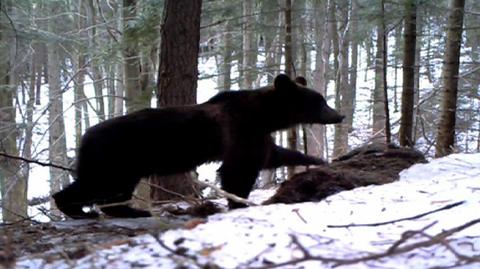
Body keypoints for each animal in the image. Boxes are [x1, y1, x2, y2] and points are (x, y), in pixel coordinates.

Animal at [52, 73, 344, 218]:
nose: (339, 115)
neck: (264, 116)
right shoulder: (241, 129)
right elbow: (239, 168)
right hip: (115, 157)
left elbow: (271, 155)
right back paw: (82, 210)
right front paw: (239, 202)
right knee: (99, 186)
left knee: (109, 189)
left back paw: (123, 210)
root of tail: (84, 137)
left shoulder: (256, 134)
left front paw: (317, 159)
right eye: (319, 100)